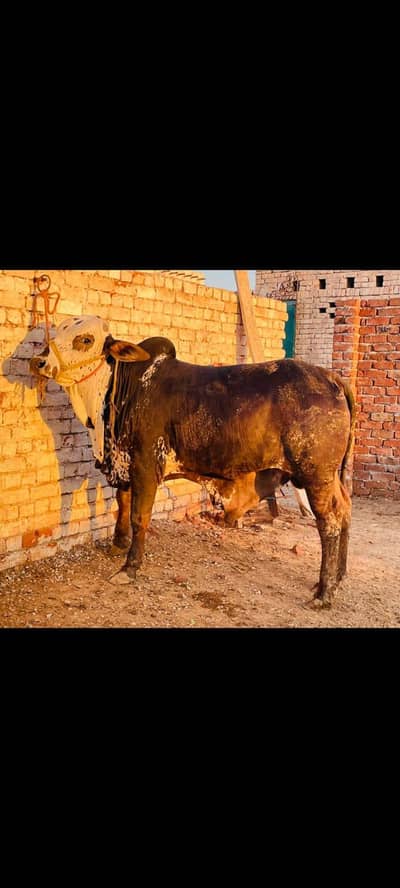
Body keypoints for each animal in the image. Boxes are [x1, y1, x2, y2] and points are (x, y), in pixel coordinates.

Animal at [30, 315, 356, 607]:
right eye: (57, 330)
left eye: (84, 339)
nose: (39, 361)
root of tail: (330, 377)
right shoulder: (123, 463)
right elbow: (121, 505)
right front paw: (117, 545)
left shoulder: (146, 466)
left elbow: (138, 516)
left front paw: (130, 567)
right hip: (329, 478)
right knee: (345, 509)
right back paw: (338, 579)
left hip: (316, 476)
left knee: (329, 523)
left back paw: (324, 593)